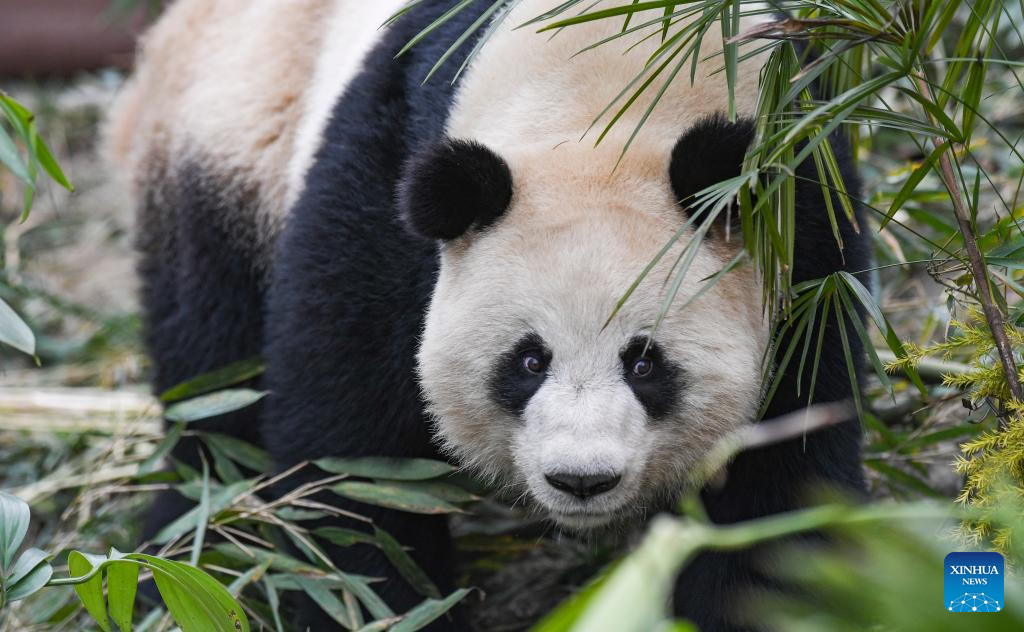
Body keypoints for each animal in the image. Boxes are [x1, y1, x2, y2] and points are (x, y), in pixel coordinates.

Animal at [108, 0, 868, 626]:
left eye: (646, 363)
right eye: (528, 360)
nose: (581, 480)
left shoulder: (805, 214)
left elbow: (784, 471)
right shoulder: (386, 186)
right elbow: (353, 460)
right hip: (229, 155)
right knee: (214, 373)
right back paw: (185, 556)